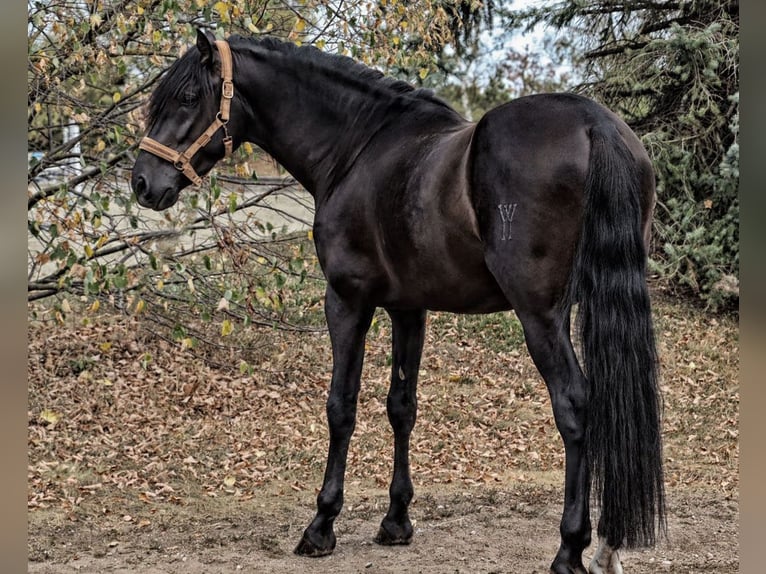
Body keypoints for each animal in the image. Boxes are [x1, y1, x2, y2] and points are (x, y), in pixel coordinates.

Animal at [132, 31, 664, 574]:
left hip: (541, 315)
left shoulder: (347, 300)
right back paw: (606, 547)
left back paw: (569, 548)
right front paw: (396, 520)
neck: (356, 148)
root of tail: (595, 125)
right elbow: (401, 406)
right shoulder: (410, 309)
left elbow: (341, 406)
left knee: (575, 407)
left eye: (187, 98)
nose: (143, 183)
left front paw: (321, 525)